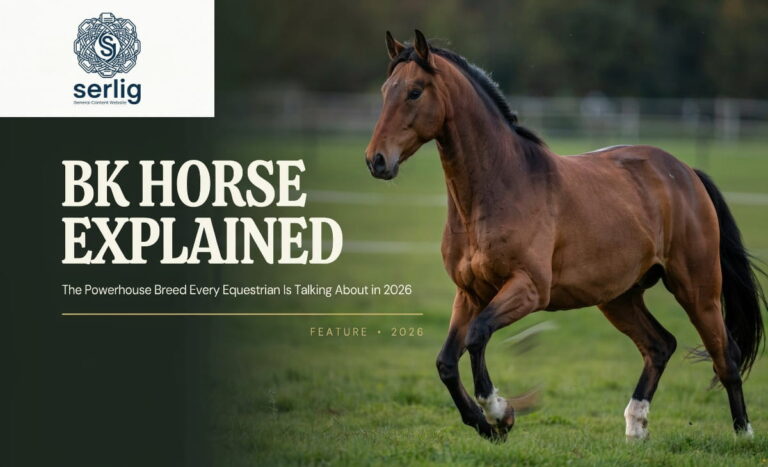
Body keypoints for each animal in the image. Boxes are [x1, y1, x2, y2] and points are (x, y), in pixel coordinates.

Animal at [365, 30, 765, 441]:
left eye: (415, 91)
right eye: (385, 90)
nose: (376, 160)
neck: (498, 187)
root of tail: (686, 172)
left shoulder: (528, 289)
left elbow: (477, 336)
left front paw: (499, 413)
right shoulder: (470, 293)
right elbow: (446, 361)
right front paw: (484, 424)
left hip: (697, 290)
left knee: (726, 357)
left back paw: (743, 434)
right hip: (618, 297)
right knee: (660, 346)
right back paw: (635, 428)